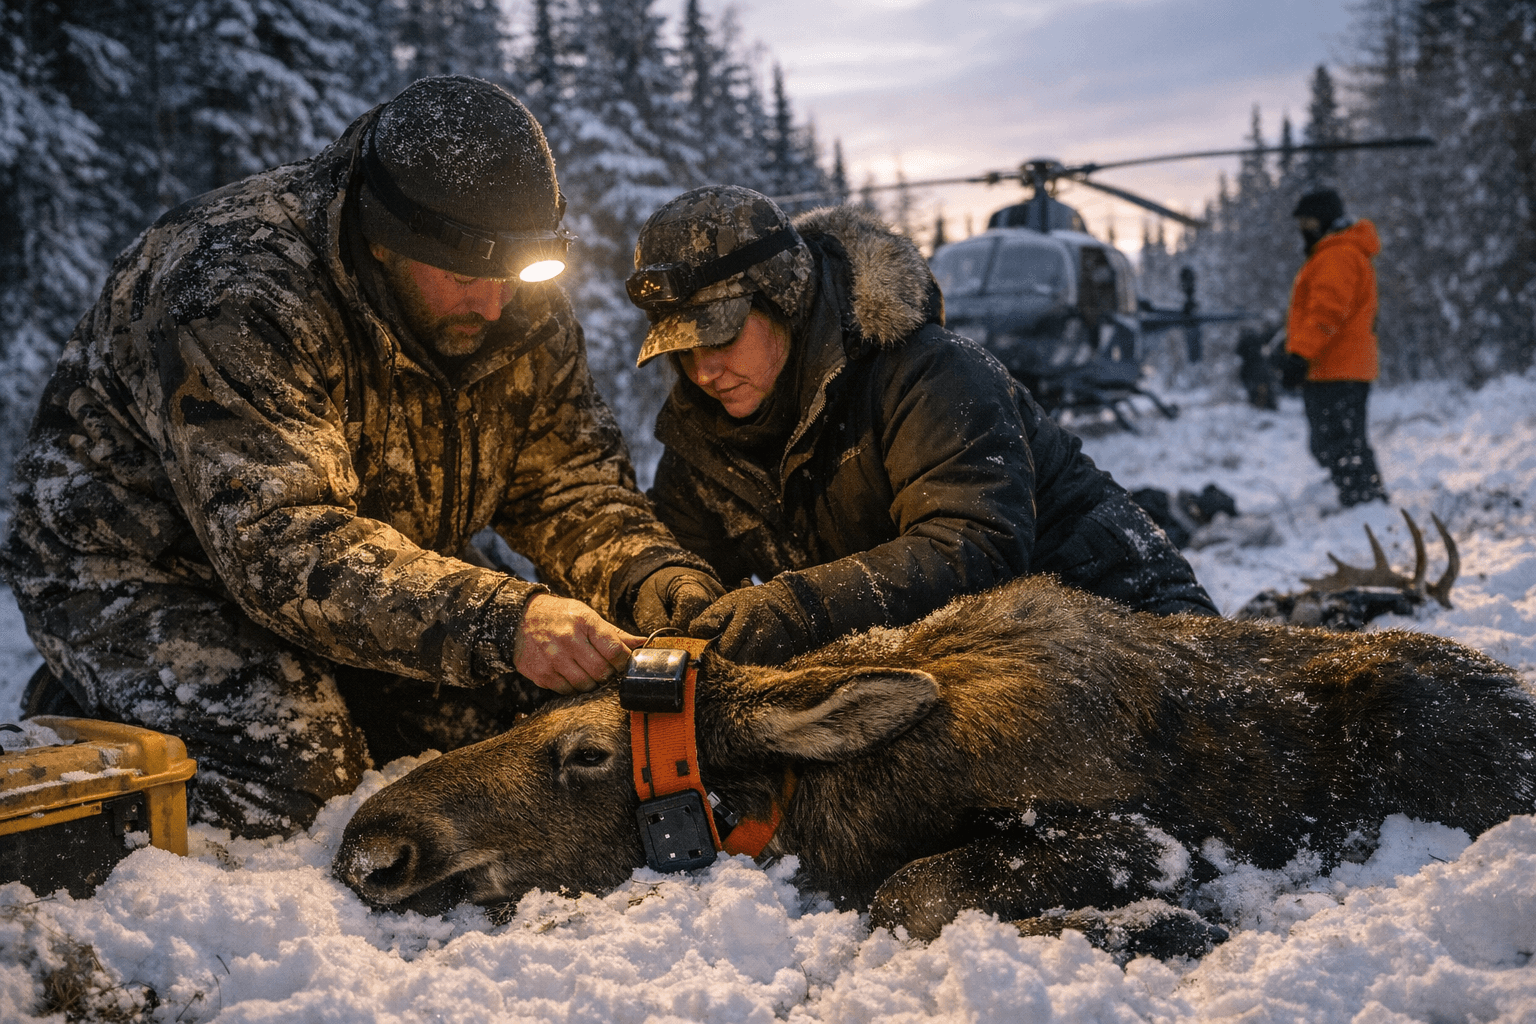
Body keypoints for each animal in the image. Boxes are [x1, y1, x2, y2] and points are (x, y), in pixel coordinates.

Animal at [333, 571, 1536, 961]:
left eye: (585, 751)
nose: (371, 843)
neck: (836, 803)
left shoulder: (1140, 834)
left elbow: (909, 893)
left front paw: (1162, 927)